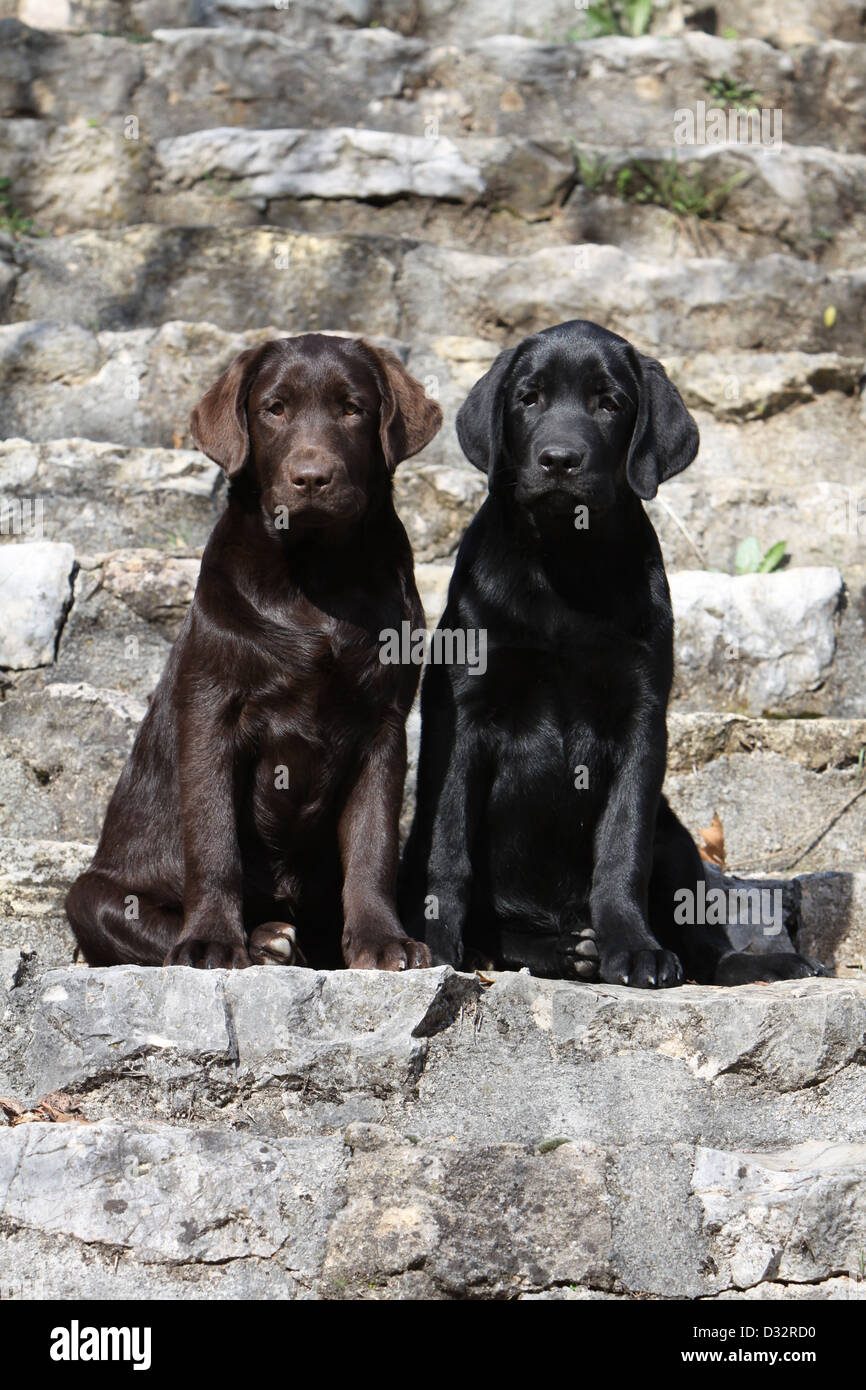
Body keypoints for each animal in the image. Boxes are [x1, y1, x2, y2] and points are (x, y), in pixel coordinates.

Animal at [67, 330, 444, 973]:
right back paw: (263, 940)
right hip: (90, 893)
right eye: (275, 409)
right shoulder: (211, 710)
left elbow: (374, 842)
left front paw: (381, 940)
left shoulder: (386, 723)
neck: (315, 577)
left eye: (352, 408)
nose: (311, 478)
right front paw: (212, 942)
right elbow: (213, 837)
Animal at [400, 318, 828, 984]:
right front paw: (437, 947)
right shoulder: (463, 717)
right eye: (528, 399)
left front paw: (633, 947)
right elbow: (449, 850)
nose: (559, 460)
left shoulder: (641, 721)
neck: (566, 563)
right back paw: (556, 951)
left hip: (675, 834)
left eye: (610, 403)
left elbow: (622, 846)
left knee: (701, 938)